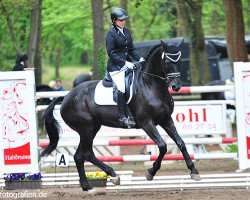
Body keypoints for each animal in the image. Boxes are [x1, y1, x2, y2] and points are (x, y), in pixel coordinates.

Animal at [39, 38, 201, 191]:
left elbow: (181, 142)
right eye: (167, 61)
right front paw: (151, 172)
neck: (150, 85)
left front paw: (194, 171)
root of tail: (66, 96)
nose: (176, 86)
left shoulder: (166, 119)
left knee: (84, 154)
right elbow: (162, 146)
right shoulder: (146, 123)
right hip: (86, 129)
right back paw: (99, 181)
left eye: (179, 61)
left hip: (92, 128)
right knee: (82, 154)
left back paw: (100, 181)